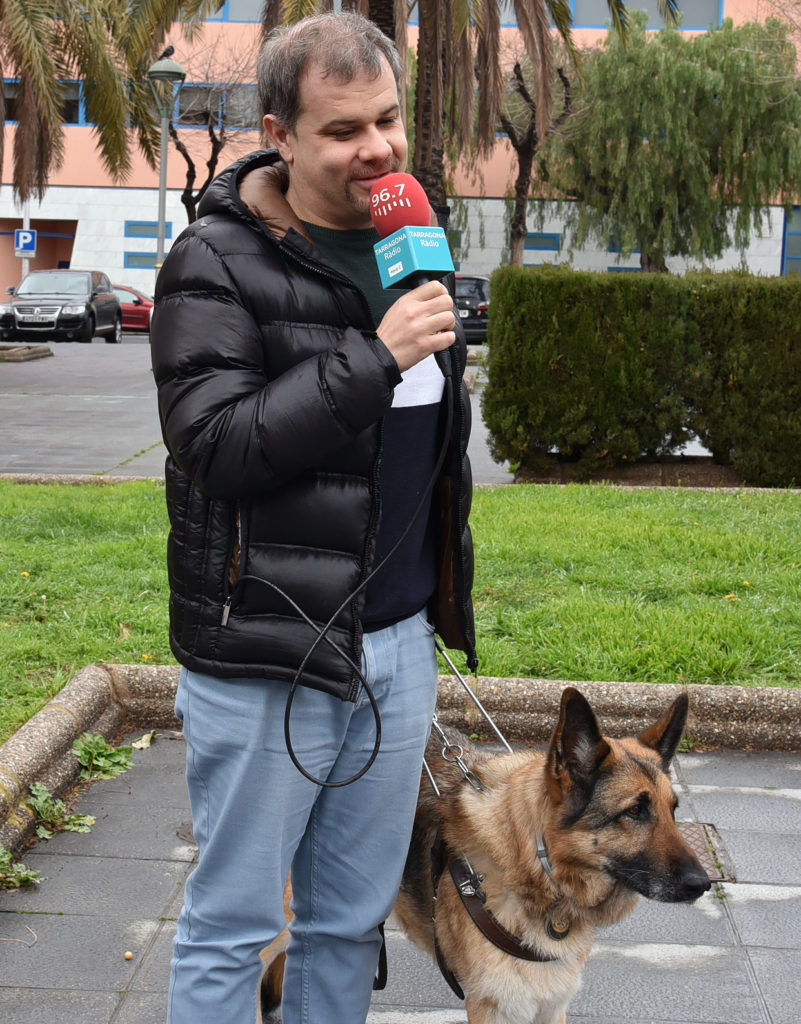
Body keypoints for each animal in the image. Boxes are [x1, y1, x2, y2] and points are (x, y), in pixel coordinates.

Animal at [260, 688, 712, 1024]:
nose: (704, 884)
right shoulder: (491, 1006)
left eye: (673, 811)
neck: (534, 864)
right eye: (634, 812)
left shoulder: (550, 1004)